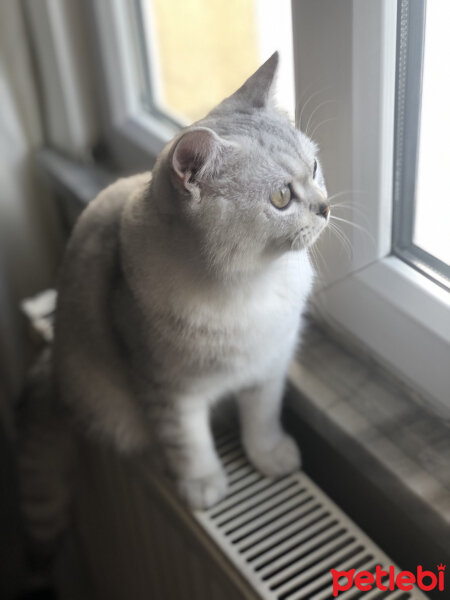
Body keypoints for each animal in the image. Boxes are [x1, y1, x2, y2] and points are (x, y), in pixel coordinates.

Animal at [22, 51, 328, 524]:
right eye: (281, 198)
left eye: (314, 168)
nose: (325, 208)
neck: (250, 284)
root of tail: (52, 369)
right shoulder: (167, 389)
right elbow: (188, 443)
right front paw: (202, 487)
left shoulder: (269, 367)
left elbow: (262, 418)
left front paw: (270, 457)